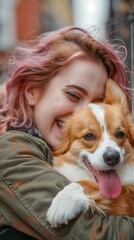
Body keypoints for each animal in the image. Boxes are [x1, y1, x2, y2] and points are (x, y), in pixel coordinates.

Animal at [46, 79, 134, 227]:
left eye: (120, 134)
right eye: (88, 136)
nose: (113, 157)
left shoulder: (125, 198)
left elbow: (84, 183)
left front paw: (63, 201)